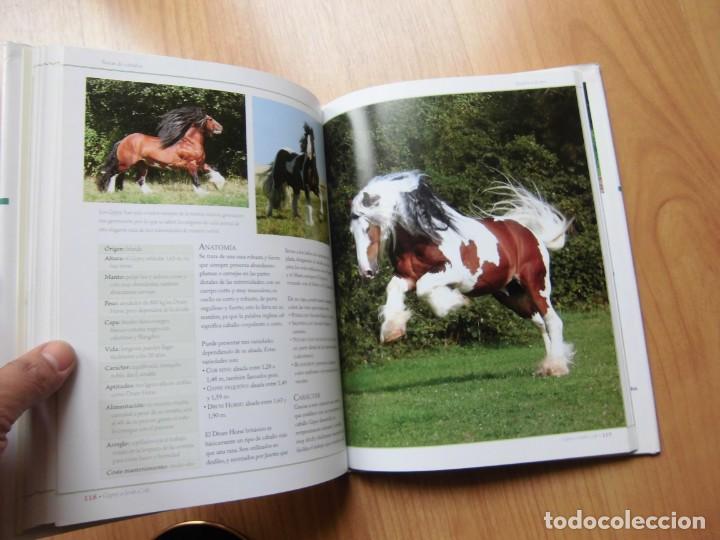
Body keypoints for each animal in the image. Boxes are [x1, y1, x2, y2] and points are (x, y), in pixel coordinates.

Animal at [96, 105, 226, 195]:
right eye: (210, 119)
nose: (221, 128)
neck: (190, 143)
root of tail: (123, 141)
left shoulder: (200, 164)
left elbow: (214, 170)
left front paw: (219, 185)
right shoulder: (191, 165)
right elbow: (196, 180)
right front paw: (203, 193)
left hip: (142, 164)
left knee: (139, 179)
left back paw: (149, 193)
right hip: (126, 163)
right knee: (112, 174)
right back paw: (110, 191)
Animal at [349, 170, 575, 377]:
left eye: (368, 227)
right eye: (352, 231)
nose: (367, 271)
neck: (422, 239)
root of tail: (531, 235)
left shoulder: (453, 272)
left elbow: (424, 287)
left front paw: (451, 304)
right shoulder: (407, 277)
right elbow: (394, 287)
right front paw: (392, 331)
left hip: (536, 285)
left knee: (553, 321)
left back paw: (557, 368)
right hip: (511, 295)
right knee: (540, 322)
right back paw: (547, 366)